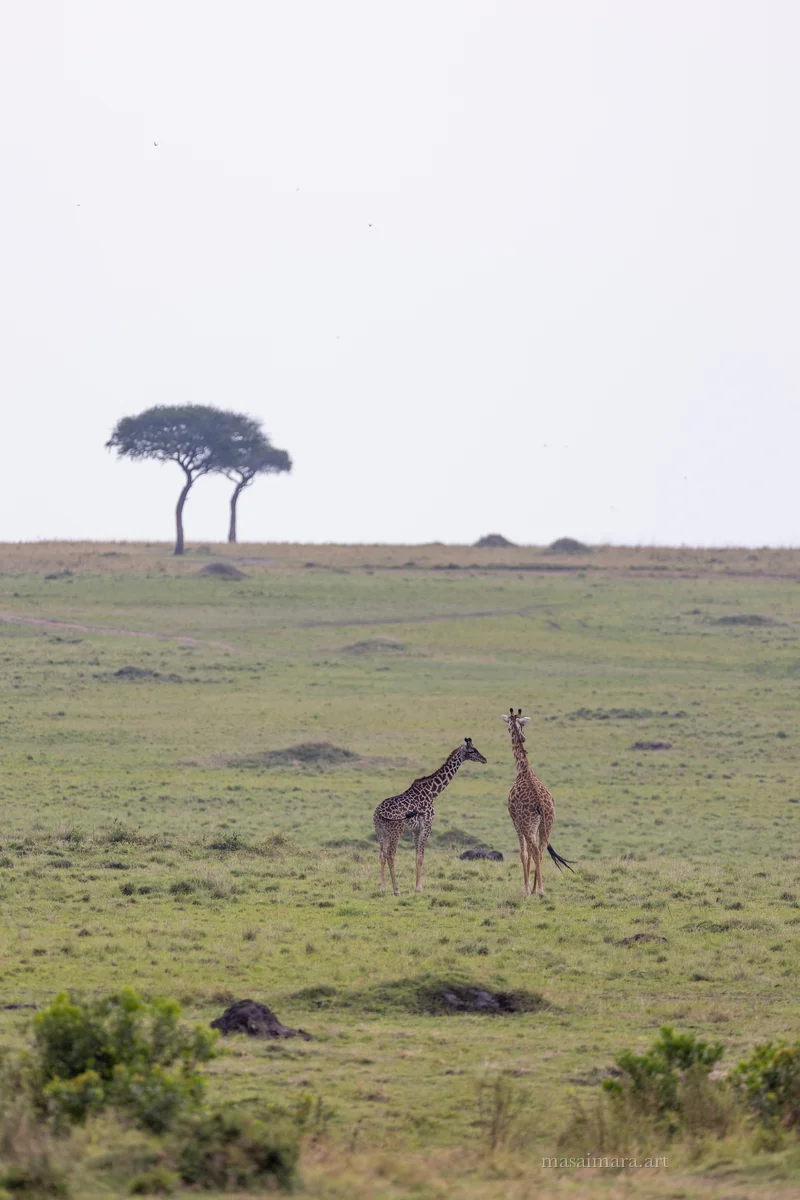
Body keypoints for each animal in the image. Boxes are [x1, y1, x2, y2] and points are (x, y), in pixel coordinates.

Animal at [373, 737, 487, 895]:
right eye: (472, 751)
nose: (484, 759)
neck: (432, 792)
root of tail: (378, 813)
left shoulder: (415, 829)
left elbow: (417, 856)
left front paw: (416, 886)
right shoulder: (427, 825)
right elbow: (421, 857)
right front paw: (419, 888)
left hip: (380, 832)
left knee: (382, 855)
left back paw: (383, 888)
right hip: (395, 831)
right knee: (390, 855)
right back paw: (396, 890)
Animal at [502, 707, 574, 895]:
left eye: (508, 725)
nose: (523, 737)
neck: (523, 769)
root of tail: (541, 804)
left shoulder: (516, 821)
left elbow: (523, 853)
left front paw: (526, 888)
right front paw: (530, 888)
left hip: (528, 823)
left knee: (534, 851)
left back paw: (539, 890)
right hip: (547, 823)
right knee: (540, 851)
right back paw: (539, 889)